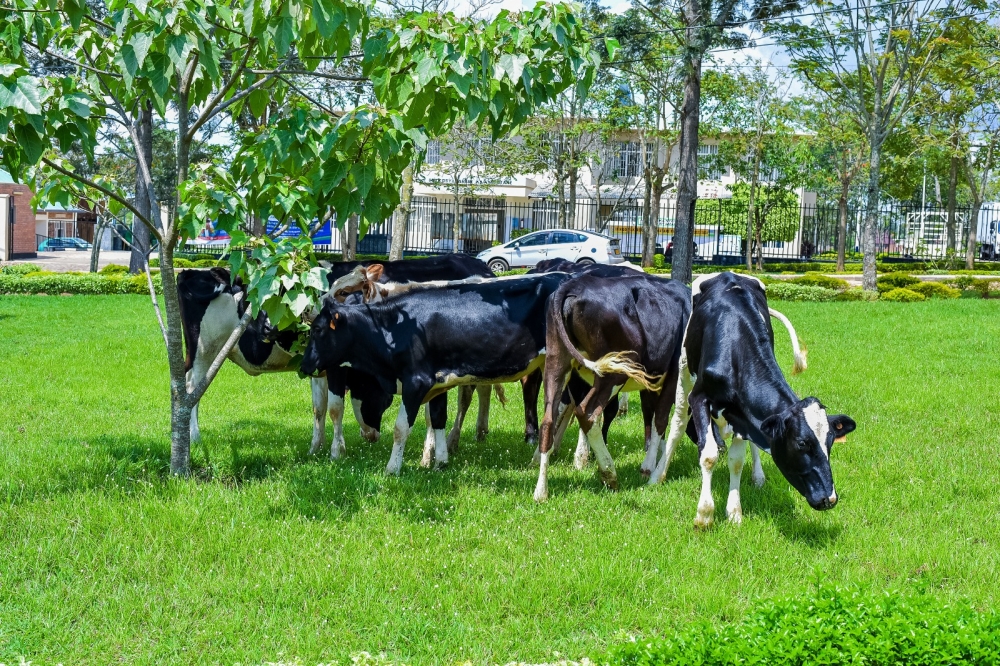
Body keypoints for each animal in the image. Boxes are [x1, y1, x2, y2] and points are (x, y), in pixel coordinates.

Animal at [179, 252, 496, 454]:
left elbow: (322, 407)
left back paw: (474, 433)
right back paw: (193, 437)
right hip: (203, 349)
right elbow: (330, 407)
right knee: (193, 388)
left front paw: (320, 448)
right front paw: (330, 450)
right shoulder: (329, 365)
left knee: (479, 388)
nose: (372, 436)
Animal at [532, 270, 696, 498]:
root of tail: (573, 285)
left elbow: (650, 415)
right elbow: (661, 419)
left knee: (548, 419)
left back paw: (541, 491)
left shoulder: (652, 382)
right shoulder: (674, 377)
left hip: (557, 362)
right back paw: (609, 473)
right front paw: (650, 468)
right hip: (614, 372)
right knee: (587, 413)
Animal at [648, 272, 860, 528]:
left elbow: (737, 460)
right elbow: (708, 455)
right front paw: (705, 515)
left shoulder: (742, 414)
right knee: (678, 423)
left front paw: (734, 512)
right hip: (684, 369)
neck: (736, 346)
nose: (829, 498)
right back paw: (657, 475)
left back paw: (758, 476)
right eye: (801, 443)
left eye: (829, 443)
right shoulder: (700, 397)